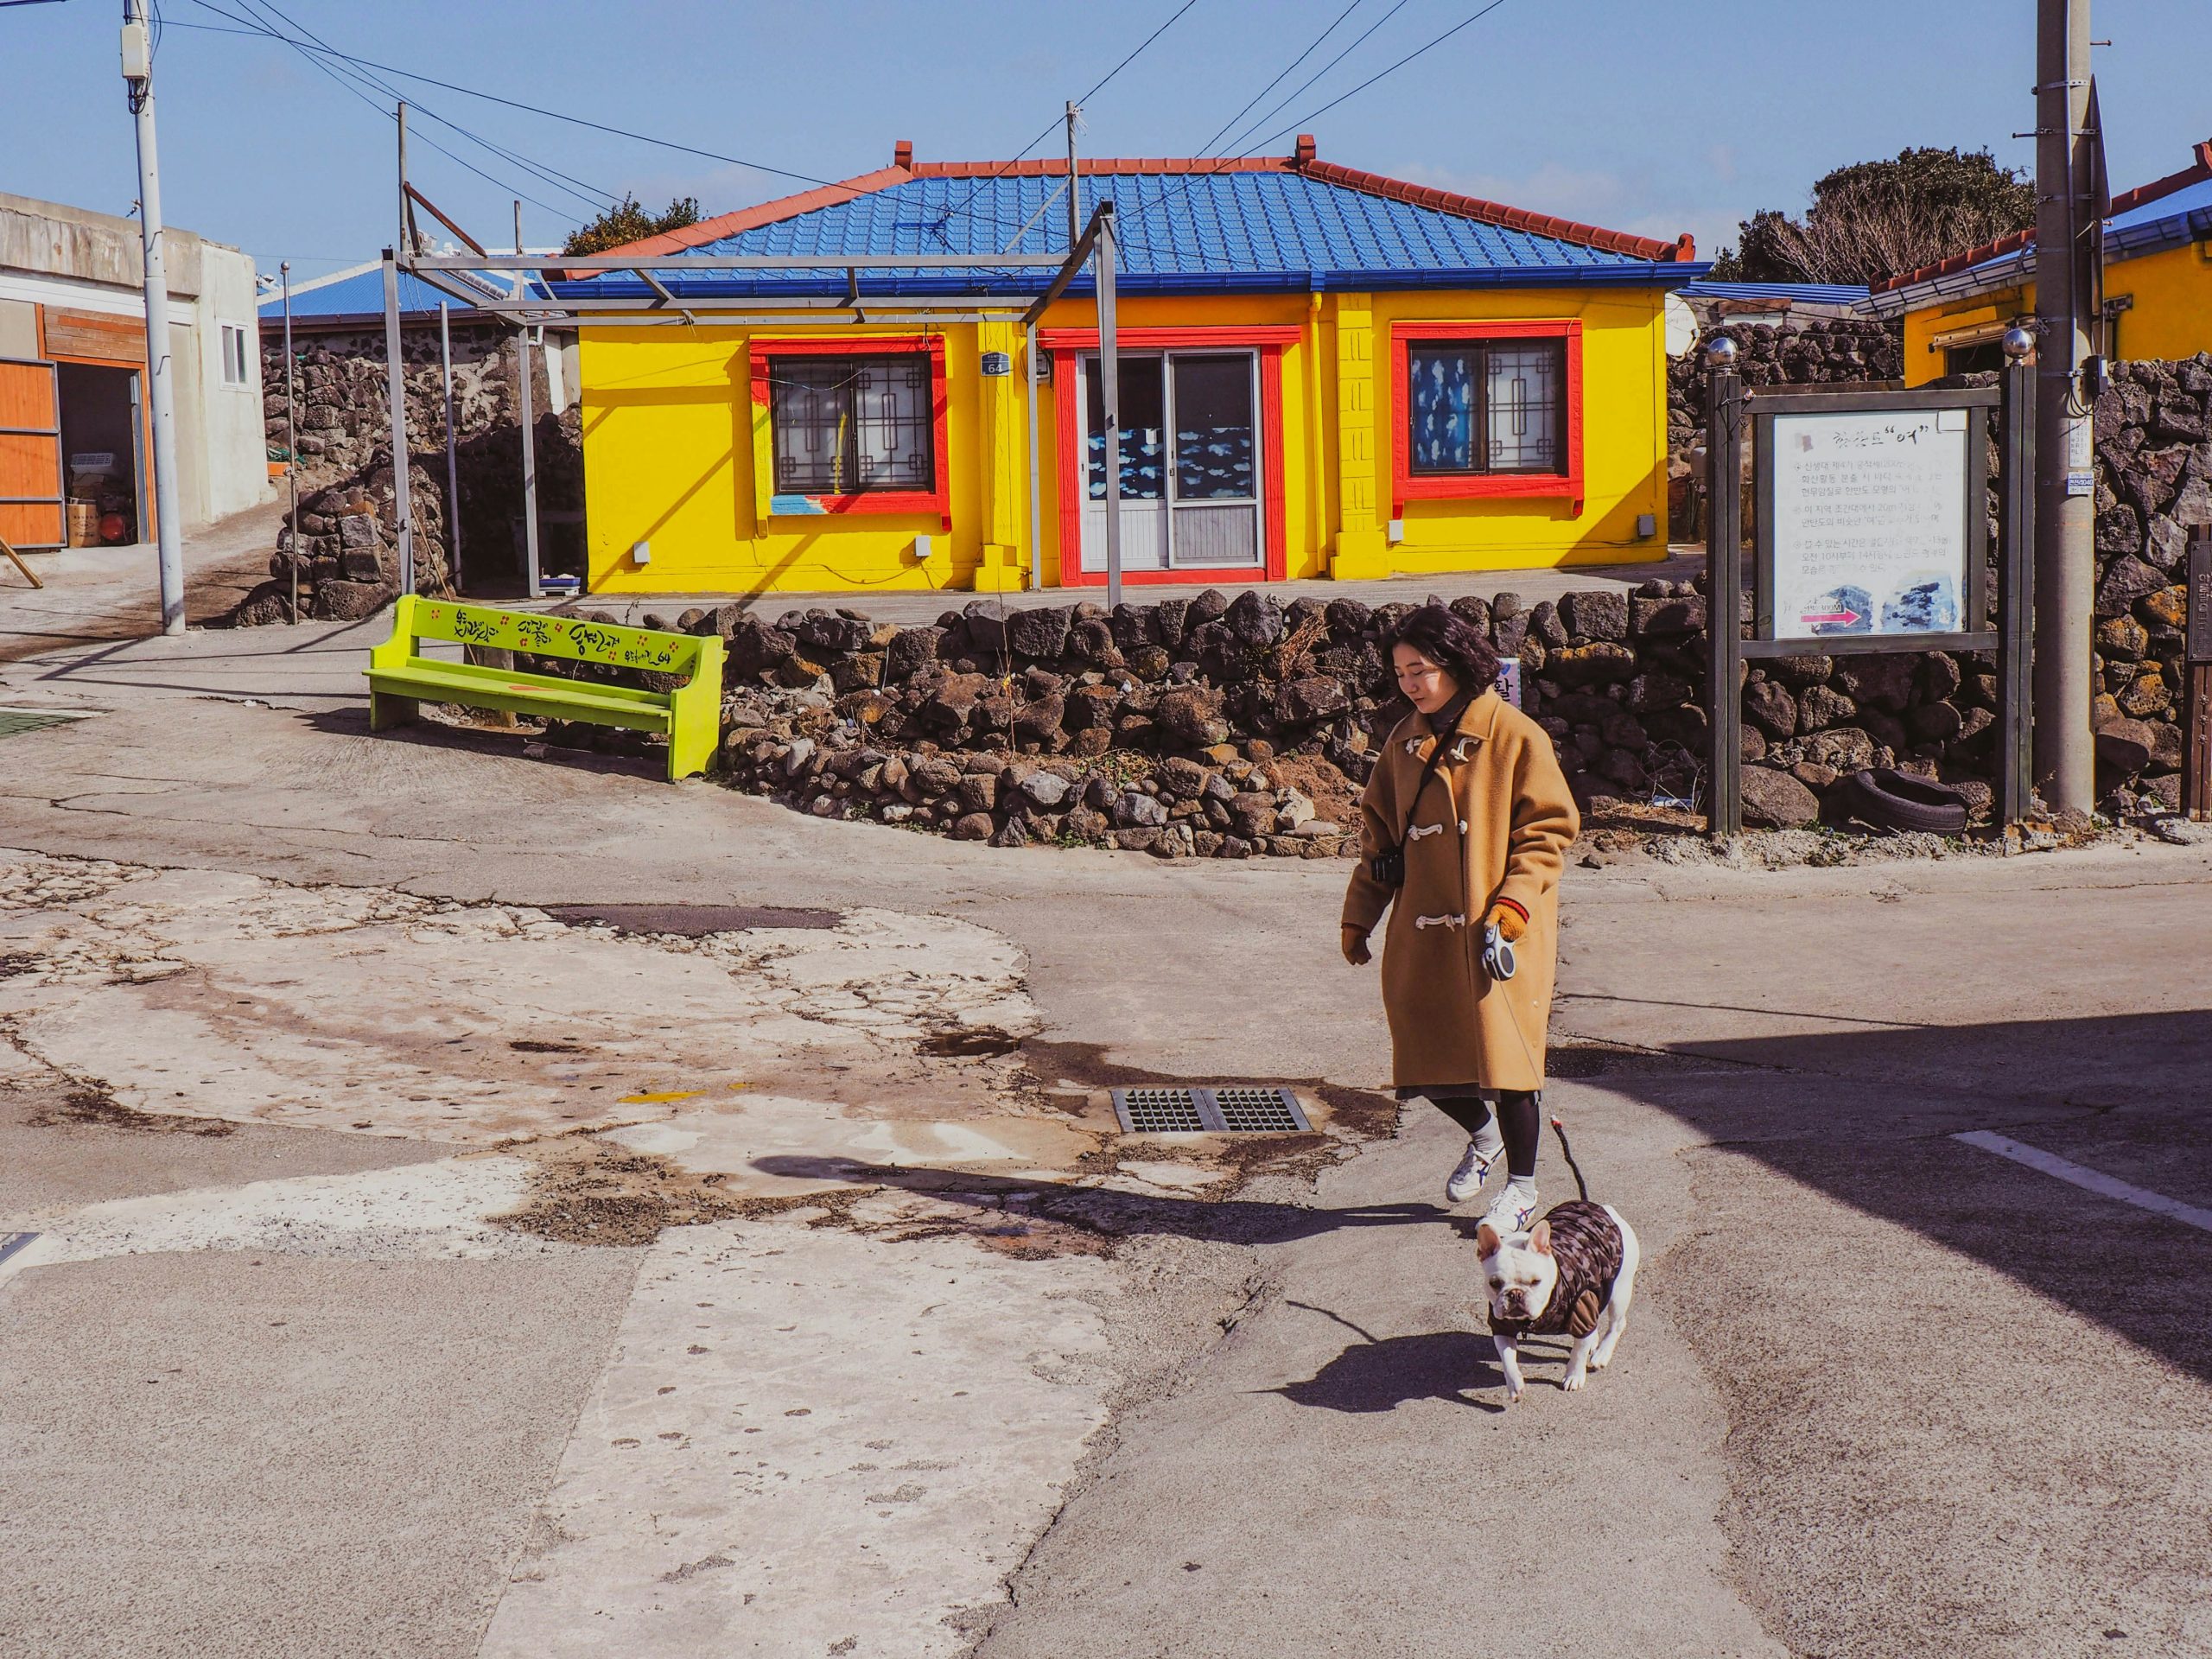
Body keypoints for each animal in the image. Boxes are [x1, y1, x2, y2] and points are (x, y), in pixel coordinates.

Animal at [1478, 1211, 1637, 1407]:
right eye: (1495, 1283)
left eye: (1536, 1282)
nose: (1515, 1294)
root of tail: (1608, 1211)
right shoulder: (1502, 1328)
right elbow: (1507, 1359)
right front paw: (1515, 1385)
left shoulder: (1581, 1311)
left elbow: (1578, 1353)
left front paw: (1574, 1376)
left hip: (1619, 1290)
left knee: (1617, 1324)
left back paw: (1602, 1354)